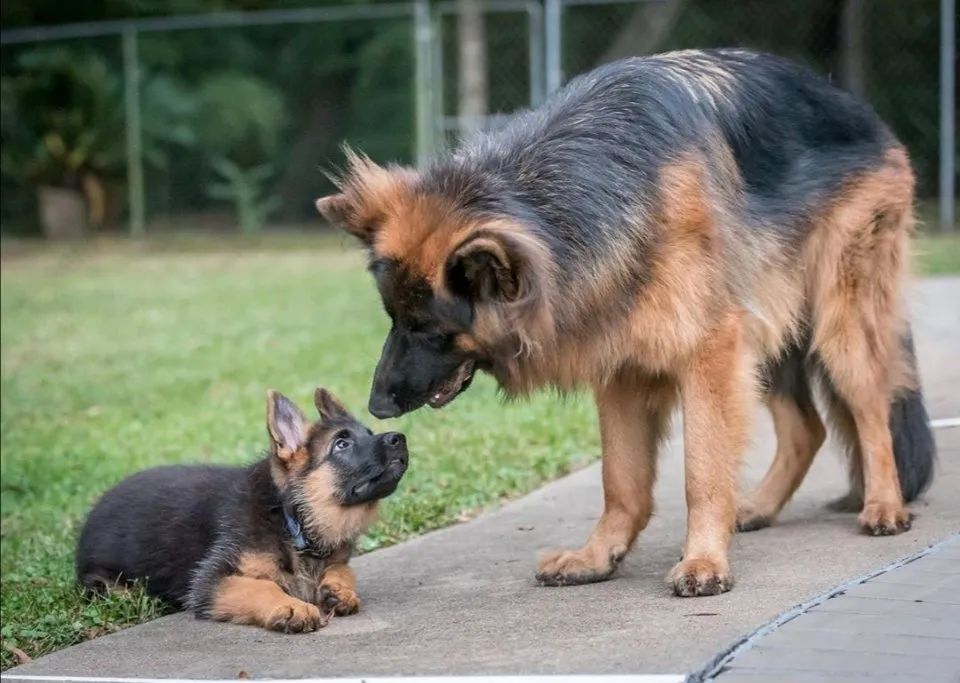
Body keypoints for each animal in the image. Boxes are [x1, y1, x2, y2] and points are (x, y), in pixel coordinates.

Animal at [75, 388, 404, 632]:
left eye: (369, 433)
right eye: (341, 444)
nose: (399, 438)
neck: (291, 517)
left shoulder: (333, 558)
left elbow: (343, 569)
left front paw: (339, 590)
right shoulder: (211, 581)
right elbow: (261, 587)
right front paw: (291, 606)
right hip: (105, 583)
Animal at [318, 48, 932, 596]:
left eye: (427, 328)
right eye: (393, 318)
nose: (376, 407)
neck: (557, 201)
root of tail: (859, 110)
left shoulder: (709, 350)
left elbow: (702, 470)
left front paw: (703, 560)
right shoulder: (621, 365)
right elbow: (621, 480)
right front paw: (598, 556)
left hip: (838, 319)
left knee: (871, 407)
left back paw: (883, 505)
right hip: (770, 330)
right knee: (808, 428)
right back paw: (758, 506)